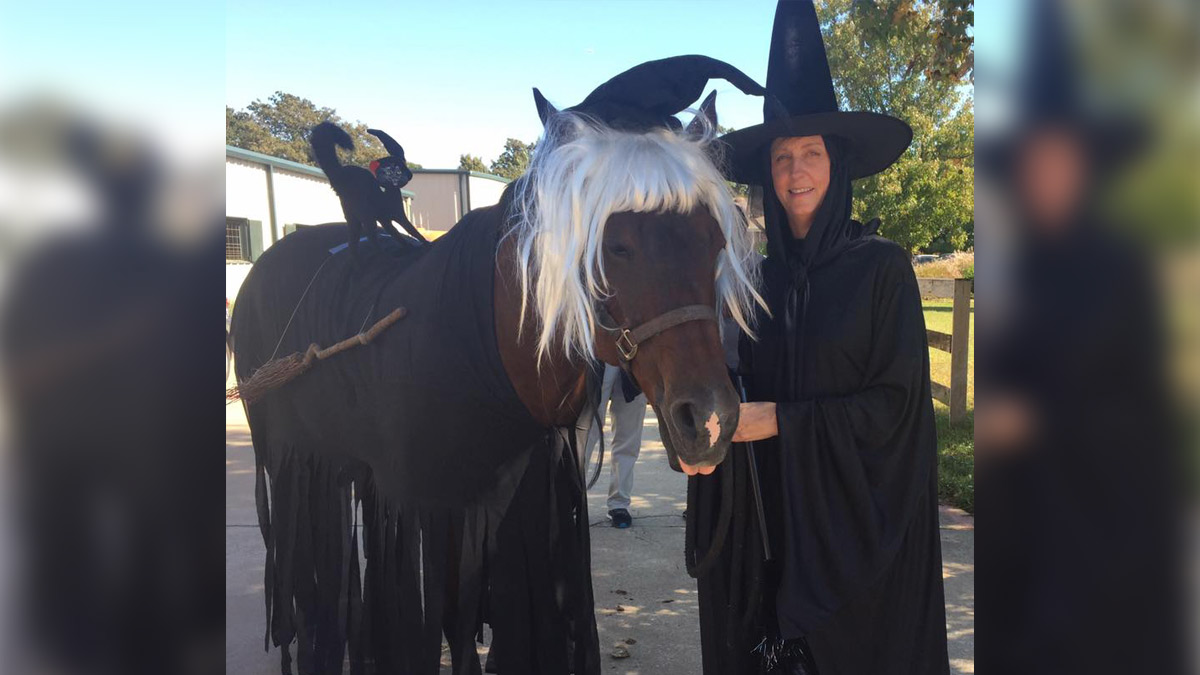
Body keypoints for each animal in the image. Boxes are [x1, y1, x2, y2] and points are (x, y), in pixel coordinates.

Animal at [229, 76, 763, 667]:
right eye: (615, 245)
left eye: (716, 242)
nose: (709, 420)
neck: (479, 348)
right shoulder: (421, 505)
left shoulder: (519, 500)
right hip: (289, 458)